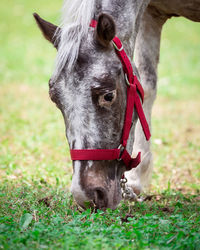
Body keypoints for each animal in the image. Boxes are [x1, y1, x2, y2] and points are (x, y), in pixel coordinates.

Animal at [34, 0, 200, 209]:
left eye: (108, 95)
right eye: (55, 99)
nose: (87, 197)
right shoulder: (151, 15)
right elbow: (147, 83)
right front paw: (136, 180)